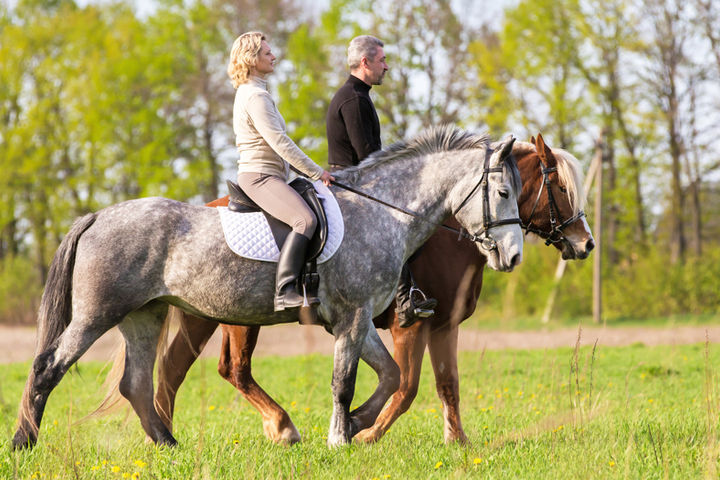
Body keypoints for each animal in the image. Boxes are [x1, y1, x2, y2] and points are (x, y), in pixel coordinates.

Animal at [14, 125, 524, 448]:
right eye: (503, 193)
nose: (513, 257)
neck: (383, 212)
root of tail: (98, 215)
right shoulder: (353, 316)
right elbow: (345, 380)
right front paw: (340, 438)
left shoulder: (357, 321)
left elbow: (390, 376)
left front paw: (358, 425)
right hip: (98, 314)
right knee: (48, 367)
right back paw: (24, 443)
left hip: (145, 315)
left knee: (137, 382)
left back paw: (169, 445)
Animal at [155, 133, 592, 444]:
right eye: (561, 189)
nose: (585, 243)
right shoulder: (408, 325)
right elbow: (407, 385)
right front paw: (365, 432)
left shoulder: (444, 325)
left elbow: (443, 383)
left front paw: (457, 441)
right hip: (239, 319)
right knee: (234, 369)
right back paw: (281, 427)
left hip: (201, 315)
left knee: (174, 367)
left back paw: (164, 431)